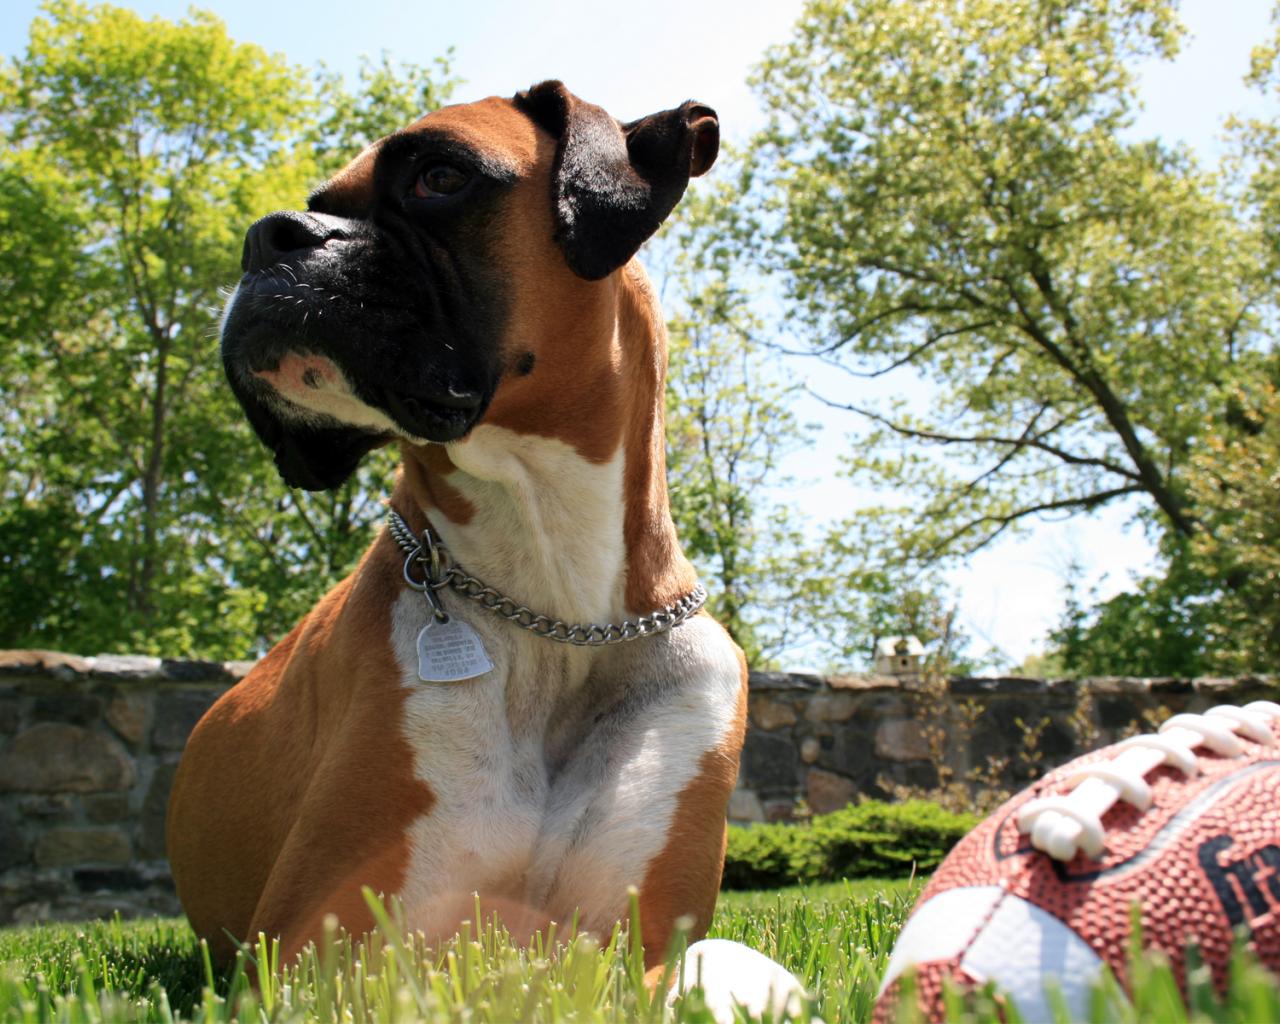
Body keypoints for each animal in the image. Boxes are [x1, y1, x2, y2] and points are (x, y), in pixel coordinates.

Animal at [168, 81, 755, 981]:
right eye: (317, 205)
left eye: (440, 176)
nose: (268, 234)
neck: (557, 605)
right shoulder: (313, 944)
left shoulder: (646, 938)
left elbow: (712, 966)